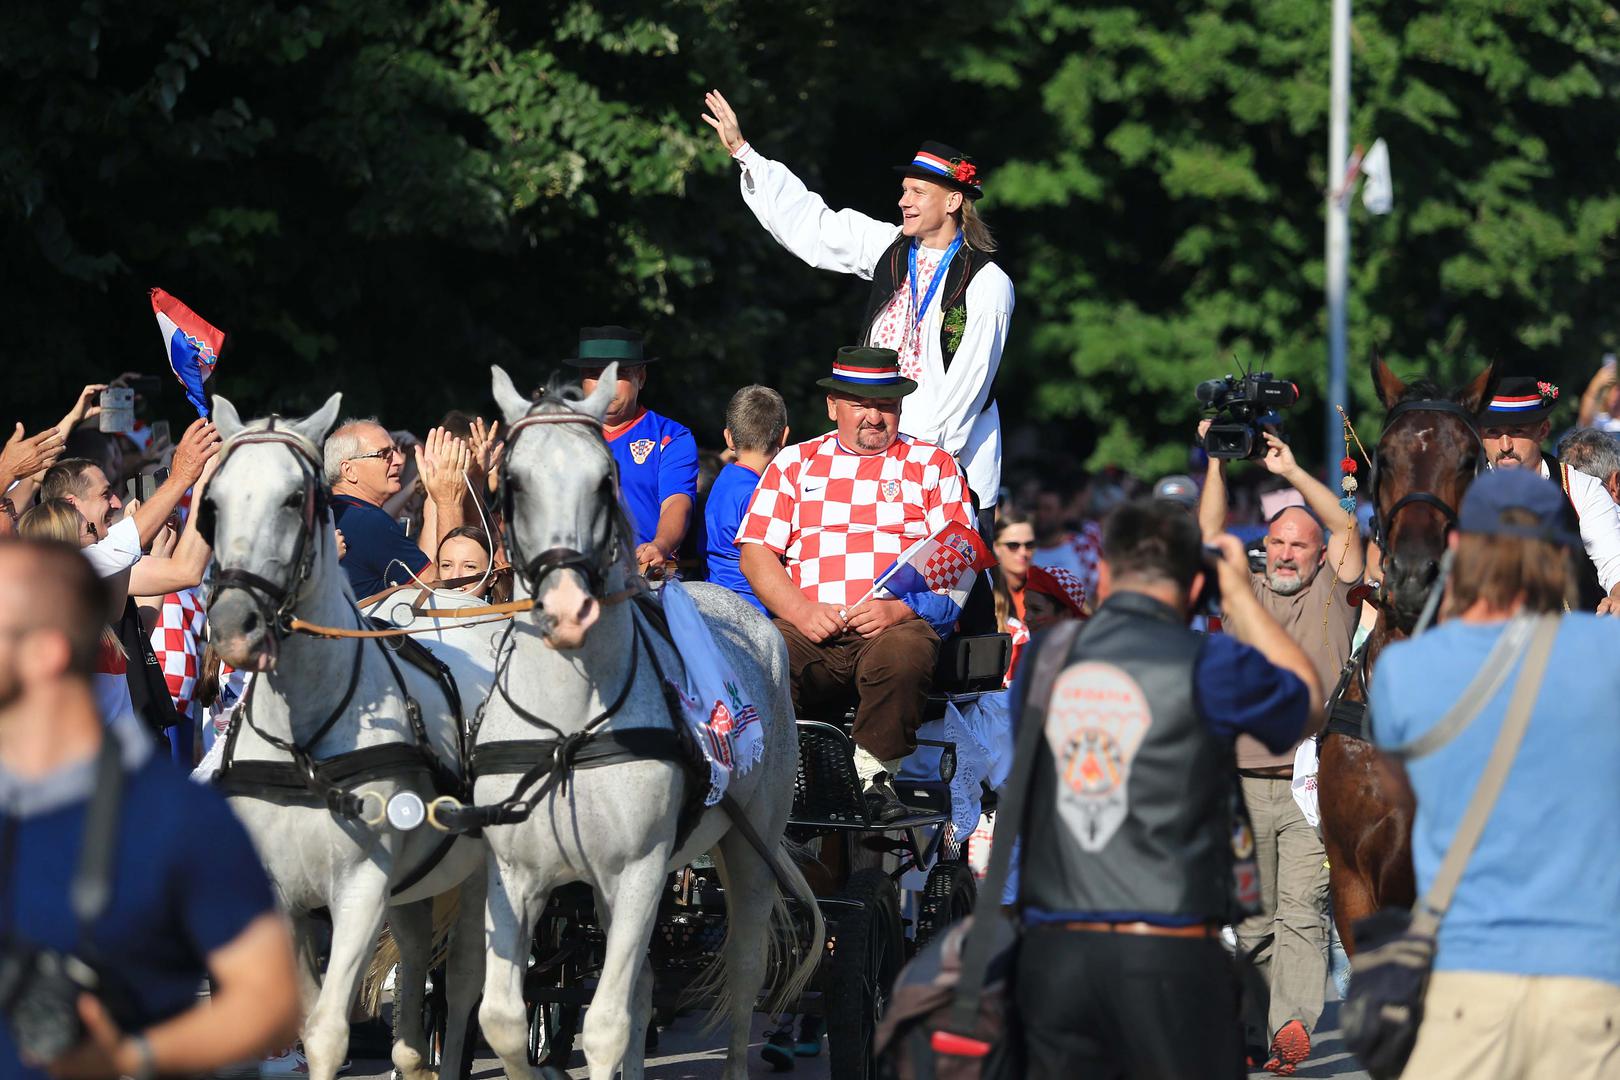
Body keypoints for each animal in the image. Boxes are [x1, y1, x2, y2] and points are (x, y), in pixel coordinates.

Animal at [205, 396, 492, 1080]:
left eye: (293, 499)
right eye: (214, 504)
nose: (231, 626)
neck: (303, 743)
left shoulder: (361, 885)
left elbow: (328, 1032)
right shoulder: (281, 899)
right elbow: (306, 1016)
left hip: (483, 873)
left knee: (465, 982)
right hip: (416, 883)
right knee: (415, 957)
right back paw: (412, 1054)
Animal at [466, 369, 829, 1080]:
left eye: (604, 479)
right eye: (511, 481)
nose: (566, 608)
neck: (569, 727)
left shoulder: (636, 871)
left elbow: (606, 1025)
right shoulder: (515, 876)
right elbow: (504, 1019)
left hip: (751, 846)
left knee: (744, 972)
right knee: (640, 989)